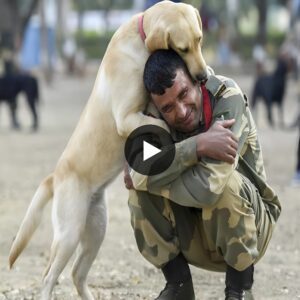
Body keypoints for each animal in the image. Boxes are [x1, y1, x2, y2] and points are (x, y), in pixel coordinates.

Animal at [8, 1, 206, 298]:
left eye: (199, 40)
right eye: (182, 49)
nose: (203, 77)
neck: (139, 40)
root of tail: (55, 176)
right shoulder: (126, 118)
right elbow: (160, 124)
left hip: (96, 228)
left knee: (77, 273)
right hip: (69, 234)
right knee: (49, 276)